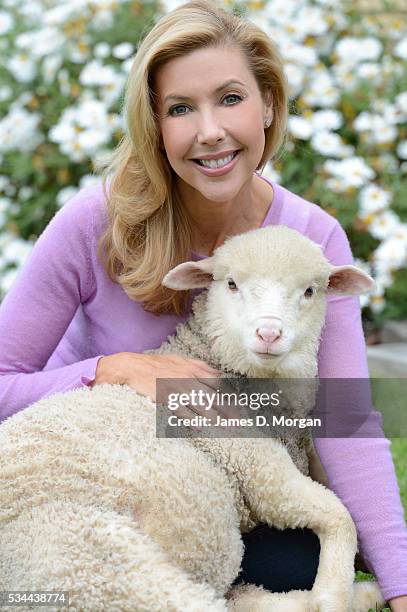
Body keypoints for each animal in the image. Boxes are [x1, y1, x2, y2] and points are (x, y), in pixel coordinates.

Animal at [0, 225, 386, 612]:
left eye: (310, 291)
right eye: (231, 284)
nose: (269, 334)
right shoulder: (252, 462)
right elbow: (338, 514)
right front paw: (331, 593)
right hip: (100, 565)